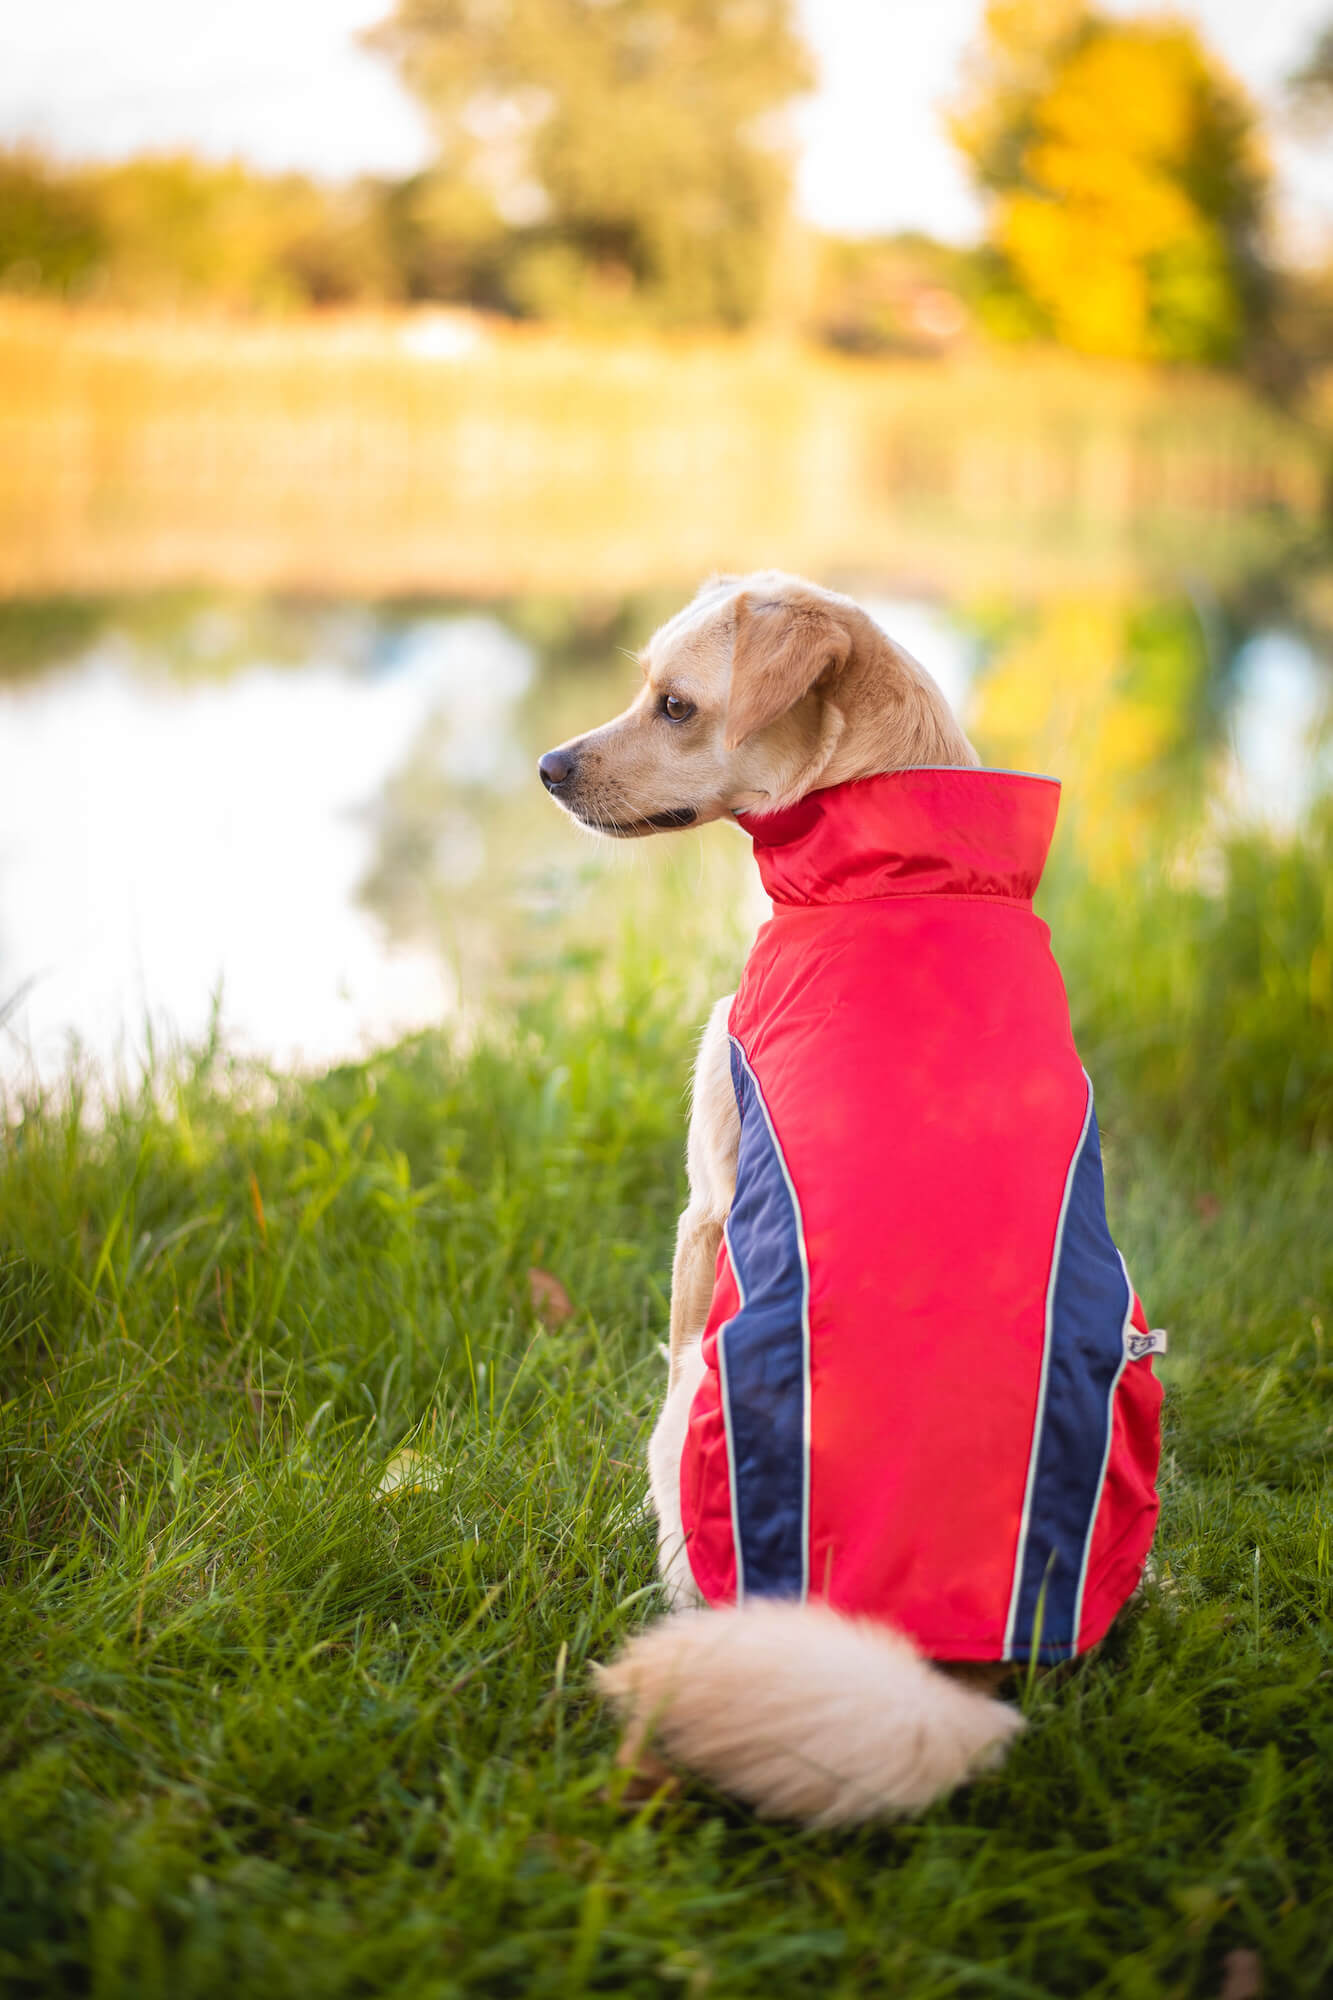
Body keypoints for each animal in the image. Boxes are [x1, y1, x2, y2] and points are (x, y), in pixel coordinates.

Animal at [536, 572, 1160, 1824]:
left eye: (674, 704)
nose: (547, 764)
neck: (903, 867)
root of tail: (933, 1656)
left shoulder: (706, 1207)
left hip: (699, 1412)